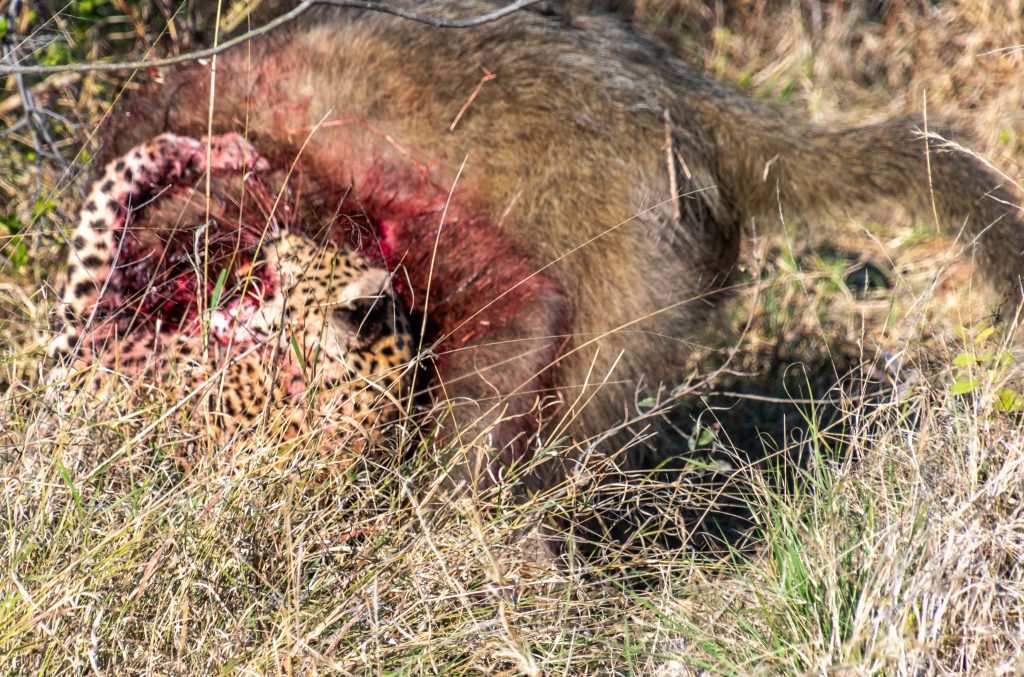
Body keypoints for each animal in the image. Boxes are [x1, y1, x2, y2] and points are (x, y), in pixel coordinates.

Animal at [88, 0, 1023, 496]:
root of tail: (685, 101)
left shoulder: (350, 168)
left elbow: (520, 304)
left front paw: (415, 510)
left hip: (638, 246)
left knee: (578, 395)